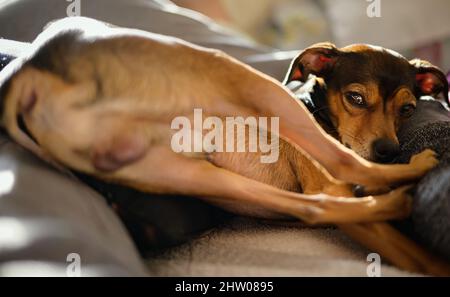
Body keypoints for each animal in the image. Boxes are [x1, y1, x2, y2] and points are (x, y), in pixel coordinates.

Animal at [0, 17, 448, 274]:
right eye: (355, 98)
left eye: (408, 109)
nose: (388, 150)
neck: (318, 110)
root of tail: (30, 69)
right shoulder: (337, 184)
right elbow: (409, 250)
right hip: (237, 77)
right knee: (344, 169)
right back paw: (412, 174)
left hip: (183, 173)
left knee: (313, 208)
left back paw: (399, 196)